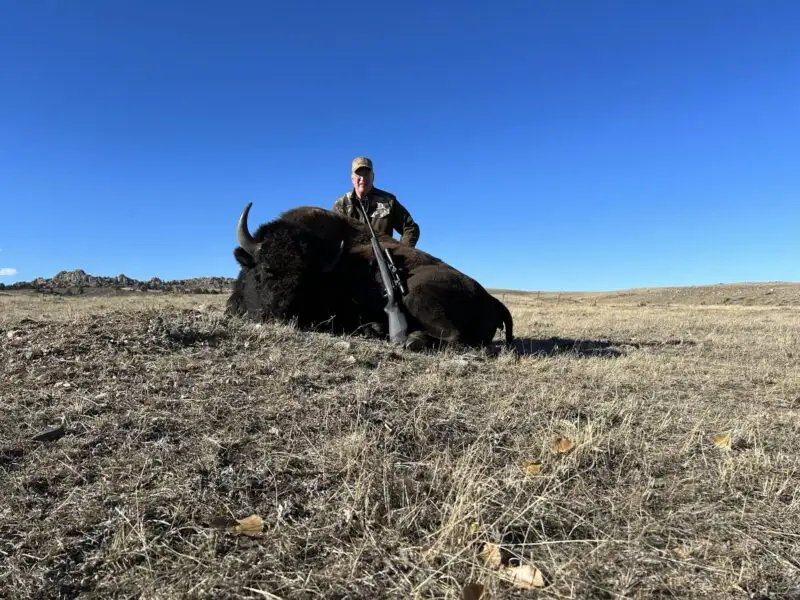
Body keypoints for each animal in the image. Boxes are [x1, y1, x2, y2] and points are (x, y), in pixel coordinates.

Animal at [226, 203, 513, 351]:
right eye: (262, 271)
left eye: (302, 283)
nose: (276, 317)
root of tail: (493, 301)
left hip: (418, 295)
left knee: (455, 337)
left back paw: (407, 339)